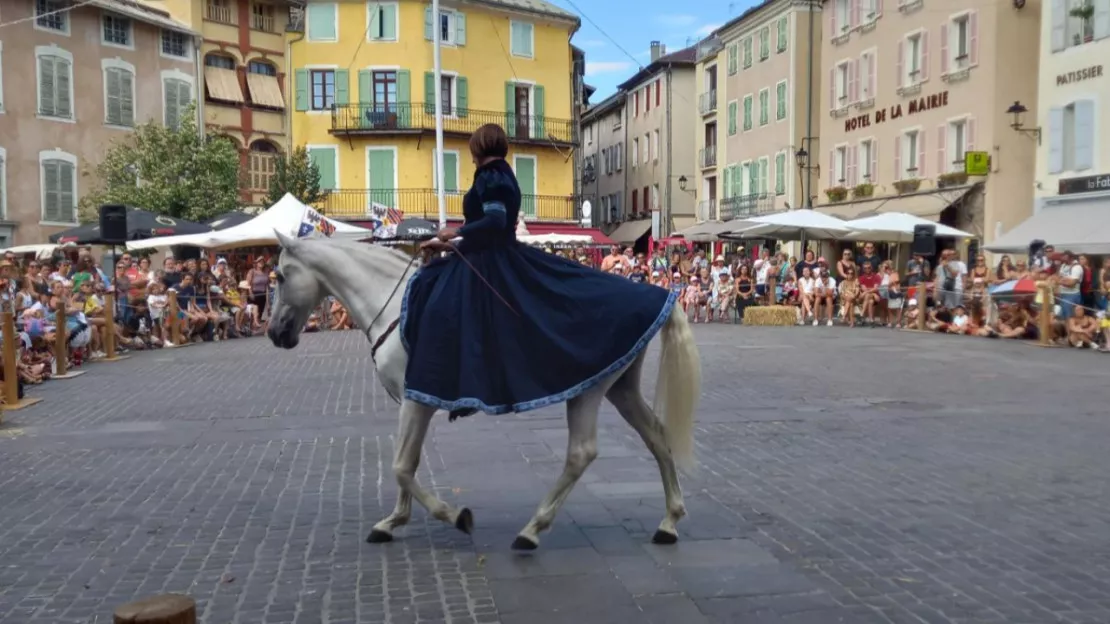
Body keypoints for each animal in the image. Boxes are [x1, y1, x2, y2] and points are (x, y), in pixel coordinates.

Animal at [266, 230, 701, 546]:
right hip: (617, 387)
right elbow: (408, 462)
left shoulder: (415, 400)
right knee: (656, 437)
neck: (392, 305)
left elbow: (402, 466)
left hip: (587, 392)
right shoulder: (414, 401)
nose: (274, 333)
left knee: (581, 454)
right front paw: (393, 521)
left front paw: (455, 516)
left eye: (281, 277)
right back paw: (670, 521)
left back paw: (532, 530)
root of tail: (662, 294)